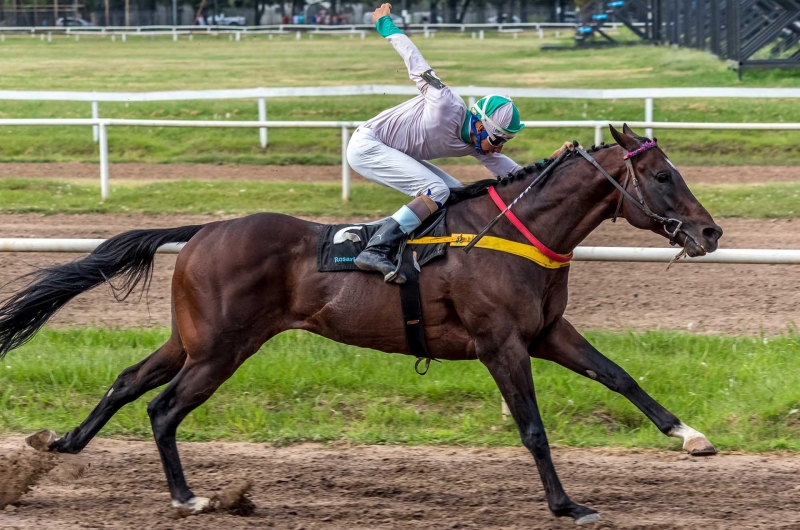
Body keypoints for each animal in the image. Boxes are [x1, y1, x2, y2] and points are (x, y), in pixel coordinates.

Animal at [1, 125, 724, 524]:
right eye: (663, 175)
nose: (711, 232)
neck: (519, 233)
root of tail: (205, 228)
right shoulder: (501, 344)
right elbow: (534, 430)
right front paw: (567, 505)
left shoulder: (546, 333)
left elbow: (620, 377)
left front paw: (691, 435)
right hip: (222, 348)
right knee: (164, 407)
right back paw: (191, 498)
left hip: (193, 338)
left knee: (130, 381)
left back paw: (62, 444)